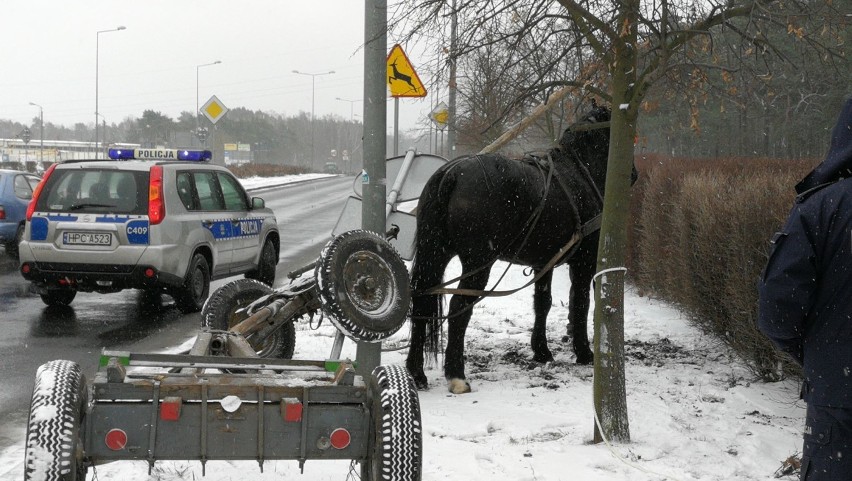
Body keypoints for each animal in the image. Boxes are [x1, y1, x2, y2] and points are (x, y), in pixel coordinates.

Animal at [402, 103, 628, 392]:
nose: (633, 175)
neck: (579, 174)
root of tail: (452, 173)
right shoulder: (583, 262)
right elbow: (580, 303)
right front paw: (584, 352)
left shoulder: (545, 263)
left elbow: (543, 303)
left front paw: (541, 351)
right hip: (477, 263)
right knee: (458, 308)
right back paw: (456, 375)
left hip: (435, 254)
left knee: (422, 302)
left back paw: (416, 373)